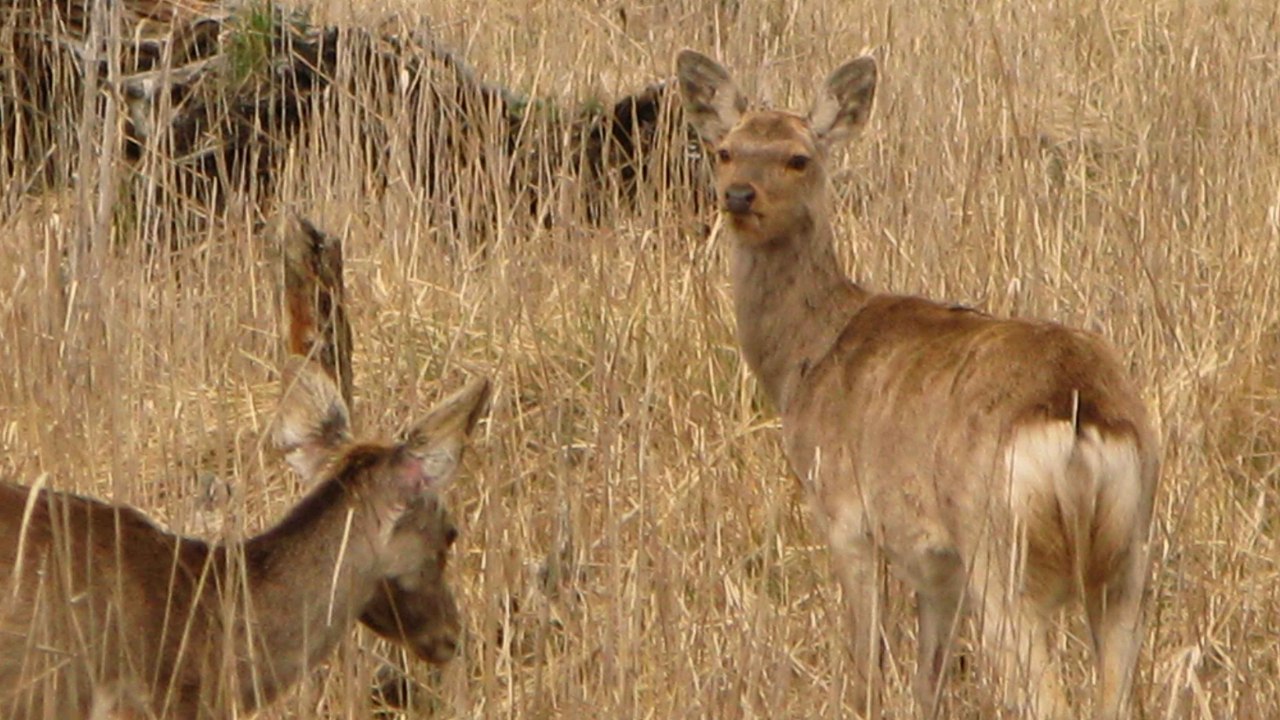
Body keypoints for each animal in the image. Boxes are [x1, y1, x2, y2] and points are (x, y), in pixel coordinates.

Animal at [680, 47, 1162, 712]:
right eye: (726, 149)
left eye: (799, 157)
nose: (738, 196)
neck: (807, 356)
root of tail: (1077, 411)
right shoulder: (939, 562)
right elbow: (927, 678)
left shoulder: (846, 513)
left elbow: (868, 665)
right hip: (1128, 555)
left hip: (1001, 551)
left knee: (1045, 697)